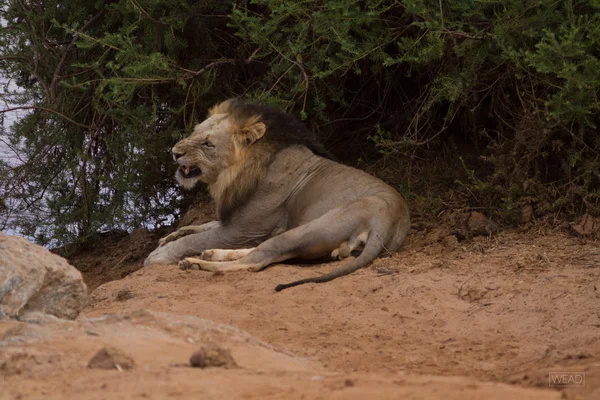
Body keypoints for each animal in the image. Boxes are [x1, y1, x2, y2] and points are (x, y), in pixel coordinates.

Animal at [144, 98, 412, 290]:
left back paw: (197, 263)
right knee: (263, 251)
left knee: (256, 260)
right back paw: (211, 254)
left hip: (309, 228)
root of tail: (389, 218)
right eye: (195, 131)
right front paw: (173, 235)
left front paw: (159, 255)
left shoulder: (241, 231)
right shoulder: (235, 221)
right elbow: (205, 226)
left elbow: (195, 240)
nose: (175, 152)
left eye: (208, 144)